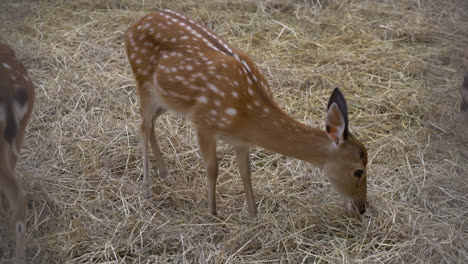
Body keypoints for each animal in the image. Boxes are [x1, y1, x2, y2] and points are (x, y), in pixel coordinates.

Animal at [124, 9, 370, 217]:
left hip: (166, 100)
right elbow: (212, 168)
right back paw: (147, 188)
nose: (362, 208)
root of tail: (131, 27)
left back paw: (164, 174)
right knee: (143, 126)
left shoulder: (240, 141)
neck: (247, 116)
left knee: (151, 123)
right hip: (143, 81)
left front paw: (253, 215)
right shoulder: (204, 122)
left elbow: (246, 172)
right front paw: (212, 214)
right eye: (359, 171)